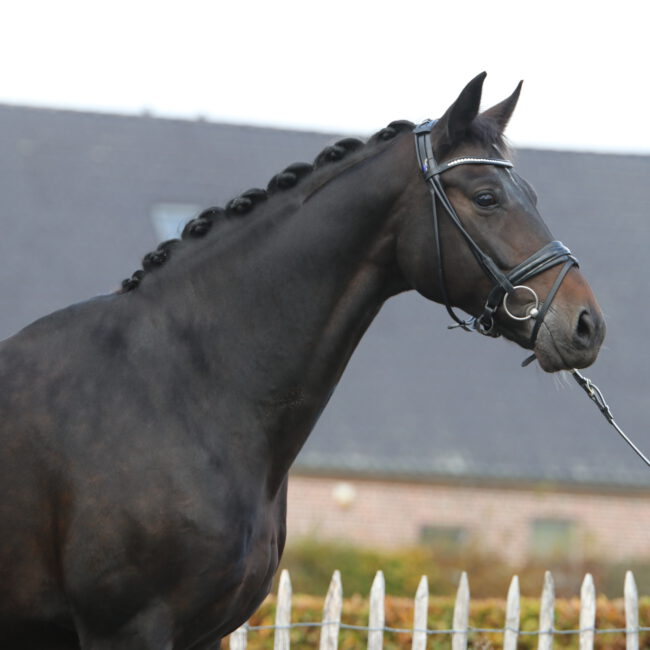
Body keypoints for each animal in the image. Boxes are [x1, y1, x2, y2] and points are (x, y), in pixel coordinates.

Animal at [0, 73, 605, 649]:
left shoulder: (208, 632)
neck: (184, 387)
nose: (587, 324)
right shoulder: (128, 627)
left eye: (530, 194)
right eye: (485, 197)